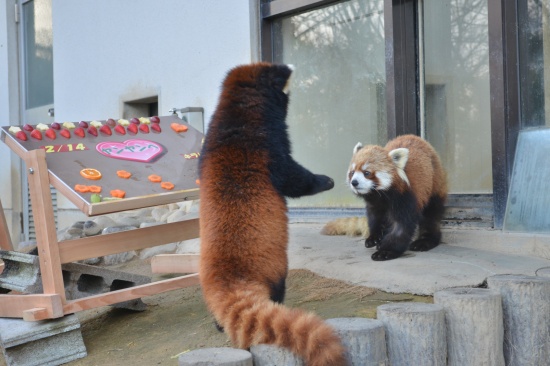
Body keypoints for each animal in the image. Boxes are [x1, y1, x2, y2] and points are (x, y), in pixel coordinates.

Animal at [198, 63, 348, 366]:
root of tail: (230, 276)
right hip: (275, 265)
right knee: (278, 286)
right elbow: (295, 179)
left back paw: (219, 323)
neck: (237, 117)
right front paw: (325, 181)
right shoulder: (270, 147)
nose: (291, 67)